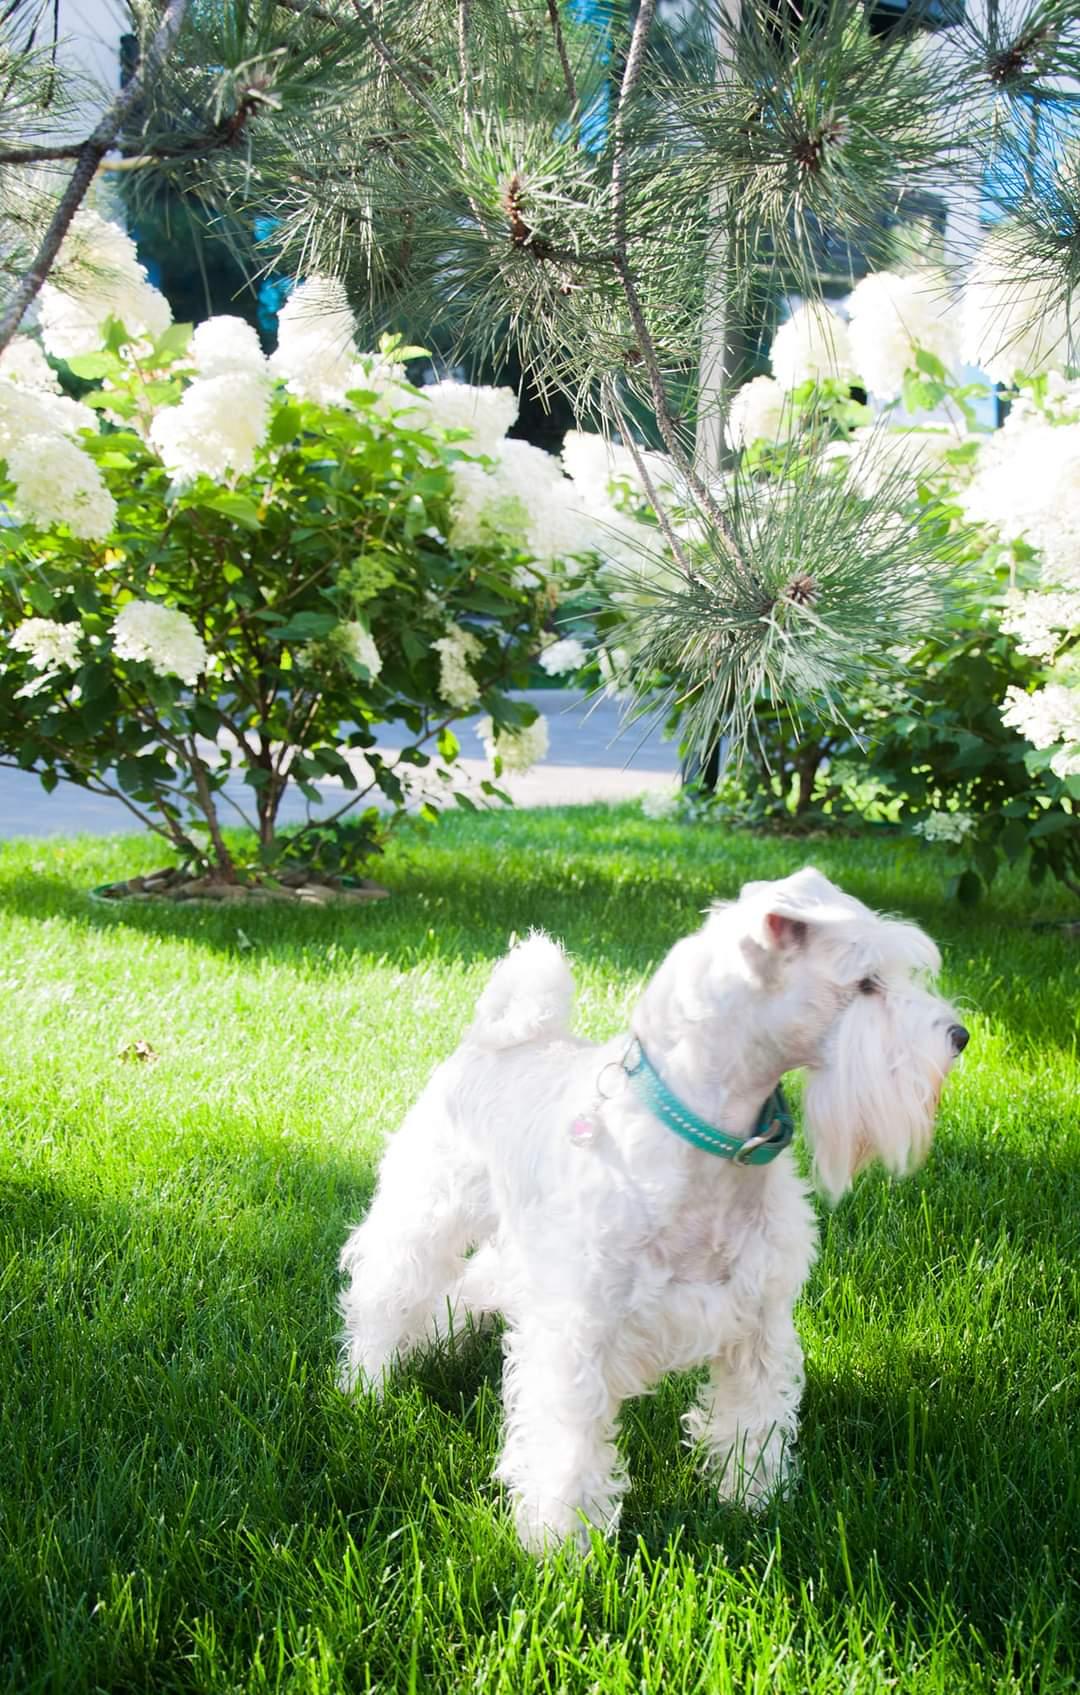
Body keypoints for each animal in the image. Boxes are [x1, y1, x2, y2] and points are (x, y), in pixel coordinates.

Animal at [338, 867, 967, 1552]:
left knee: (467, 1288)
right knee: (384, 1299)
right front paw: (562, 1547)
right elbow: (568, 1449)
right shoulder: (579, 1333)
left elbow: (753, 1422)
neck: (709, 1146)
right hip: (422, 1218)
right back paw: (366, 1387)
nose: (959, 1037)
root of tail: (497, 1038)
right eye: (866, 982)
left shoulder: (759, 1323)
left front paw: (752, 1505)